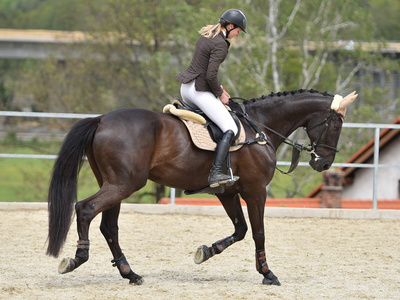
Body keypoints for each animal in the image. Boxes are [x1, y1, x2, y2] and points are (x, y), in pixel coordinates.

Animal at [46, 88, 356, 286]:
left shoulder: (228, 192)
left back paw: (130, 274)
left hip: (116, 185)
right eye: (337, 125)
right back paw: (77, 258)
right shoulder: (256, 190)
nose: (324, 163)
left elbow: (240, 230)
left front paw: (205, 252)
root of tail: (101, 119)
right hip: (123, 184)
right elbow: (258, 232)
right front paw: (268, 274)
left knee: (109, 227)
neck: (261, 127)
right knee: (85, 209)